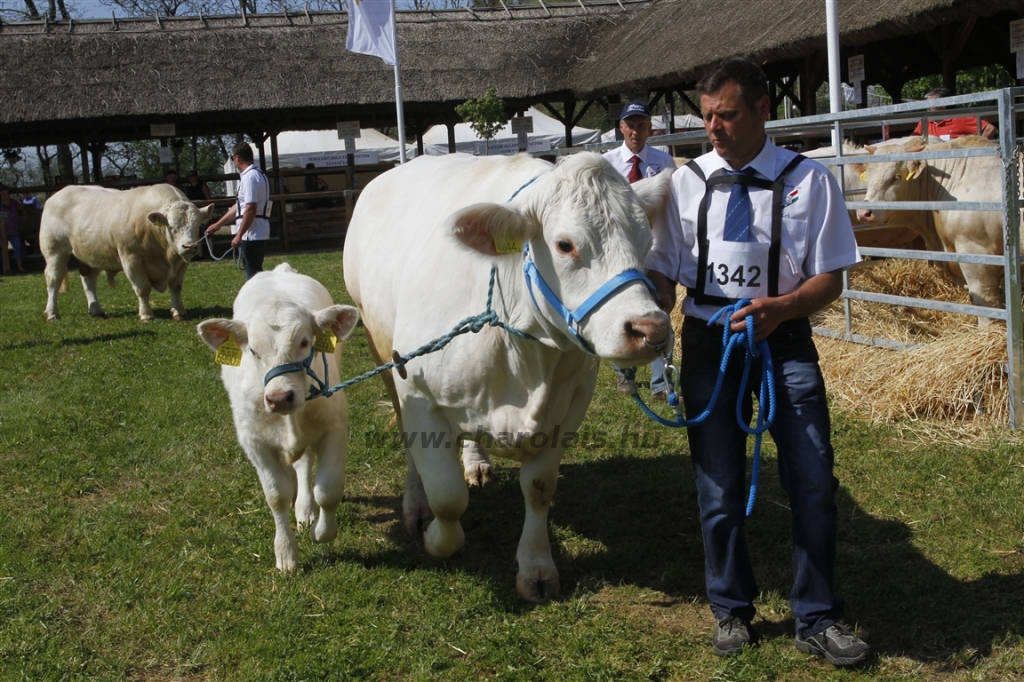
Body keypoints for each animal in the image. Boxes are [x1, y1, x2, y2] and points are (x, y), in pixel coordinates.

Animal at [40, 183, 212, 321]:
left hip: (93, 253)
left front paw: (179, 312)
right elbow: (143, 288)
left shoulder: (181, 262)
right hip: (55, 250)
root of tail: (61, 192)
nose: (189, 246)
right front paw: (146, 314)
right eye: (171, 227)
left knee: (89, 280)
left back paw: (96, 310)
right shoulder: (131, 259)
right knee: (54, 280)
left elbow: (176, 287)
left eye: (197, 226)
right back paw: (52, 313)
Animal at [196, 262, 360, 569]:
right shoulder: (254, 441)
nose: (279, 398)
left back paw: (306, 510)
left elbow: (328, 489)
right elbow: (276, 495)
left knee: (305, 464)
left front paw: (321, 532)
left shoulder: (334, 427)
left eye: (305, 342)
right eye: (252, 350)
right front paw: (285, 553)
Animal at [344, 151, 671, 598]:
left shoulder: (570, 406)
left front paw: (536, 568)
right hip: (383, 352)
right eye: (565, 244)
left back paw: (476, 461)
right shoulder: (419, 396)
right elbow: (447, 495)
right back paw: (416, 506)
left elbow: (539, 487)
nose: (650, 330)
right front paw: (434, 536)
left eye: (646, 242)